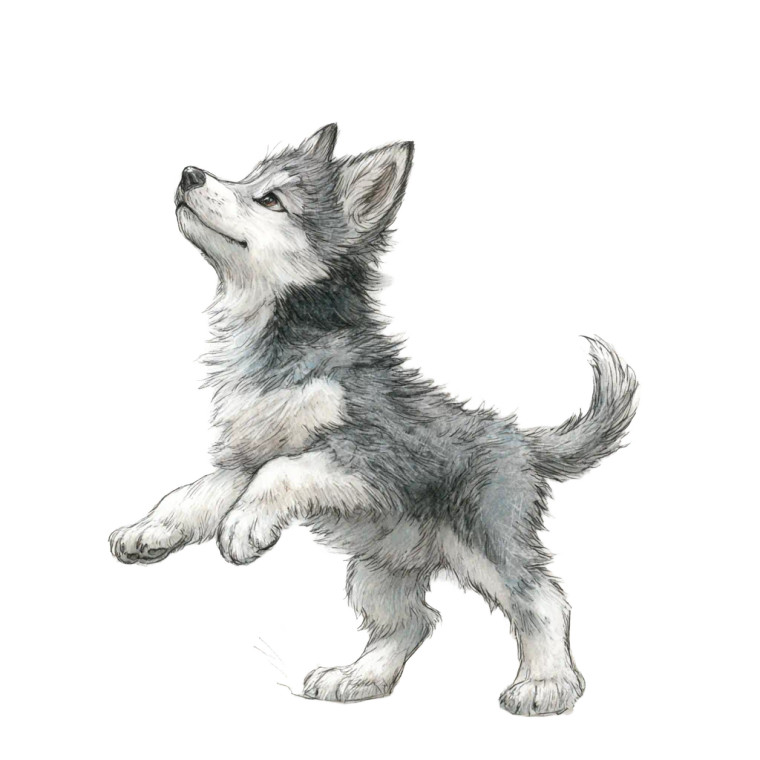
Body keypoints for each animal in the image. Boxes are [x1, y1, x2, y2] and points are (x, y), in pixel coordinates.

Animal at [109, 125, 637, 715]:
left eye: (270, 199)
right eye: (246, 177)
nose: (189, 174)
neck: (284, 337)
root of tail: (522, 440)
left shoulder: (372, 455)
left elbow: (283, 472)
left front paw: (244, 525)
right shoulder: (243, 459)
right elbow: (195, 492)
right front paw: (151, 529)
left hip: (485, 539)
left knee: (542, 600)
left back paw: (546, 684)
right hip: (380, 566)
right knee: (413, 621)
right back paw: (358, 678)